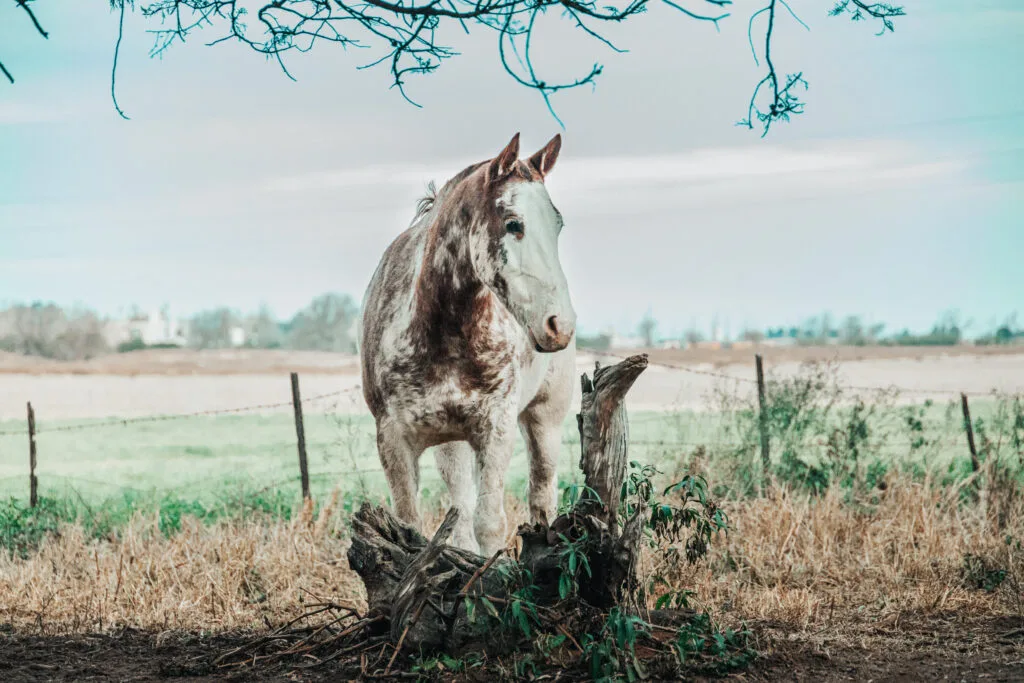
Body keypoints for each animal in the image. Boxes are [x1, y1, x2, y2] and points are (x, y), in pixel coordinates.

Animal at [359, 133, 577, 556]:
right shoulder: (393, 440)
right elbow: (412, 525)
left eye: (559, 225)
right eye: (513, 224)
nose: (560, 324)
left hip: (545, 420)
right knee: (459, 510)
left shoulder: (496, 430)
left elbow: (488, 523)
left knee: (542, 497)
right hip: (452, 444)